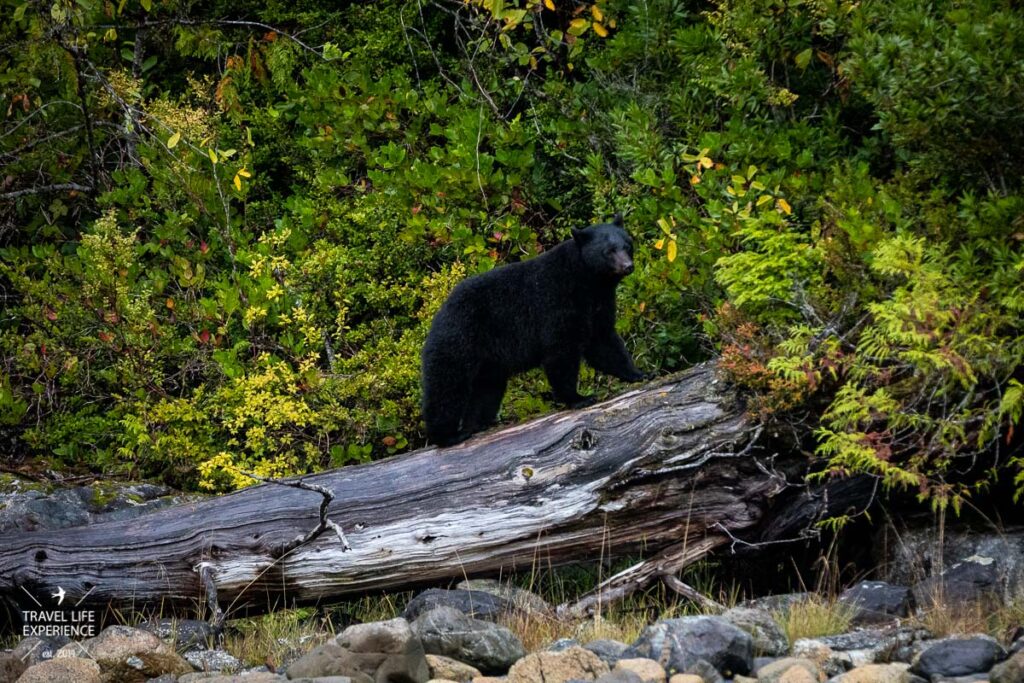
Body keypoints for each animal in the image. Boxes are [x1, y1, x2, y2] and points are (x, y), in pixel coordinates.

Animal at [419, 215, 643, 448]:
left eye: (627, 245)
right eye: (609, 251)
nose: (628, 266)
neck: (588, 281)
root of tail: (437, 314)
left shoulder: (598, 305)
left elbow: (604, 342)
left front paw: (638, 373)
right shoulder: (556, 302)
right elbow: (561, 350)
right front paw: (578, 398)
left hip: (489, 362)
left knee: (486, 389)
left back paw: (478, 423)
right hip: (459, 339)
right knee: (447, 386)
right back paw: (447, 435)